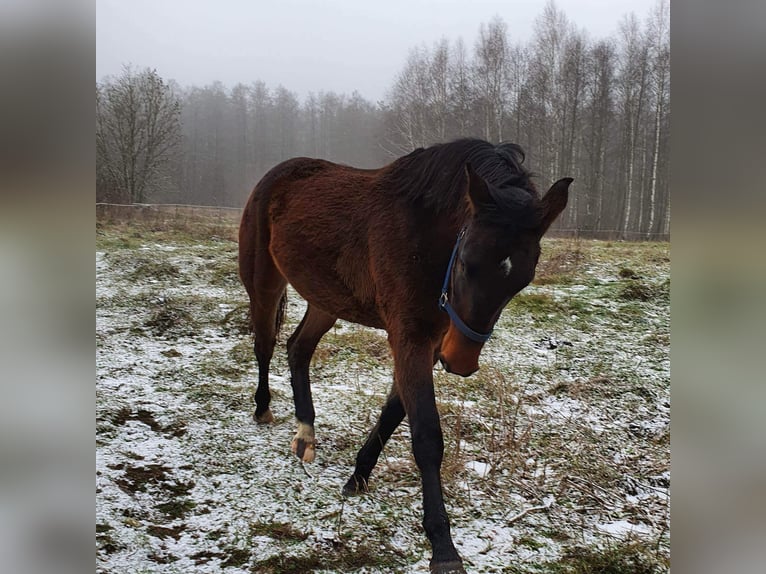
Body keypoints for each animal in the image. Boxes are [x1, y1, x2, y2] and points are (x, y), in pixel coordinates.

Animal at [238, 137, 568, 572]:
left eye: (523, 279)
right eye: (467, 262)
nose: (462, 361)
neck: (425, 239)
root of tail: (275, 176)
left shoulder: (432, 341)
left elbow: (394, 411)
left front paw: (358, 475)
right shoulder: (410, 337)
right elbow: (426, 436)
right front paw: (443, 547)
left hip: (326, 299)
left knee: (298, 350)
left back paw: (306, 433)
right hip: (264, 283)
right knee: (265, 345)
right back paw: (263, 409)